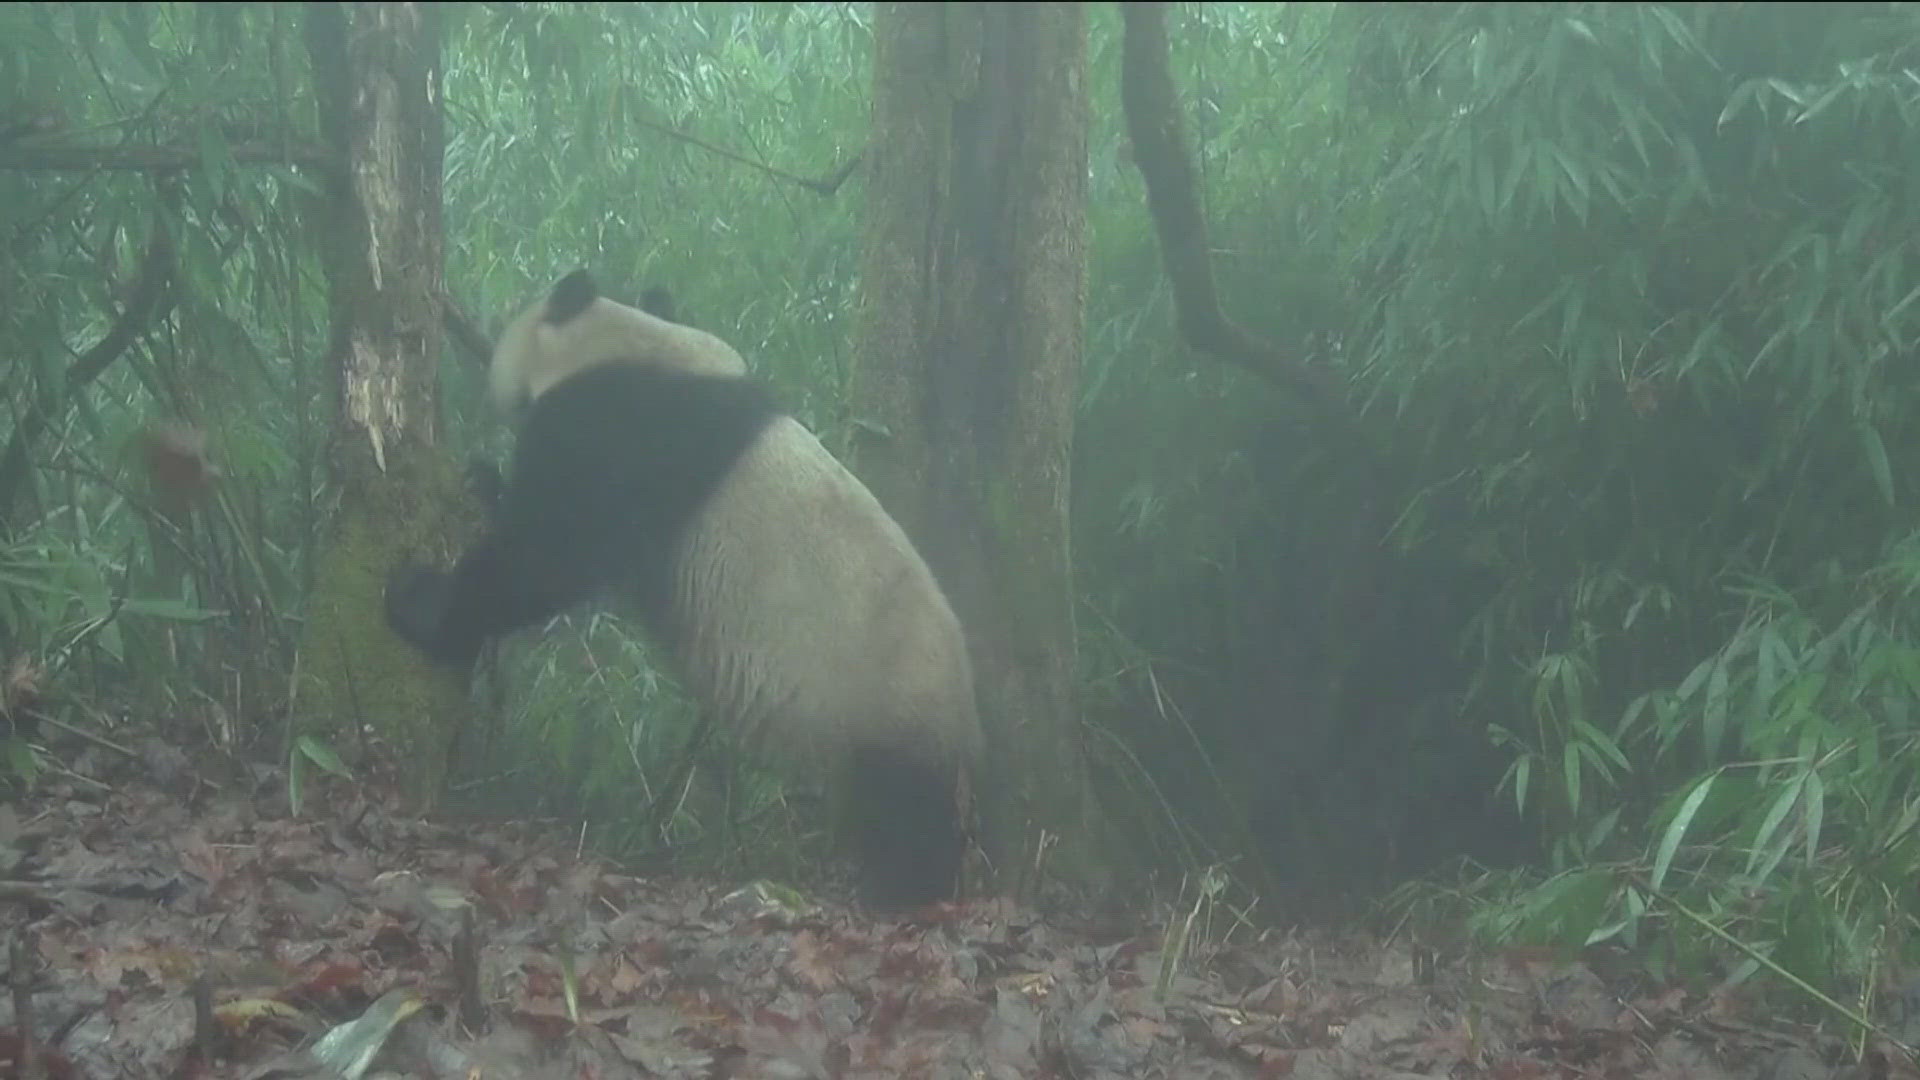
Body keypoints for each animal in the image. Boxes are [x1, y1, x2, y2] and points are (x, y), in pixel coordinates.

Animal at [389, 269, 990, 907]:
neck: (633, 344)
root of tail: (968, 715)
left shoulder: (619, 431)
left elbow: (548, 554)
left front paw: (419, 602)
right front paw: (481, 481)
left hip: (887, 697)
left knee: (906, 807)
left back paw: (903, 889)